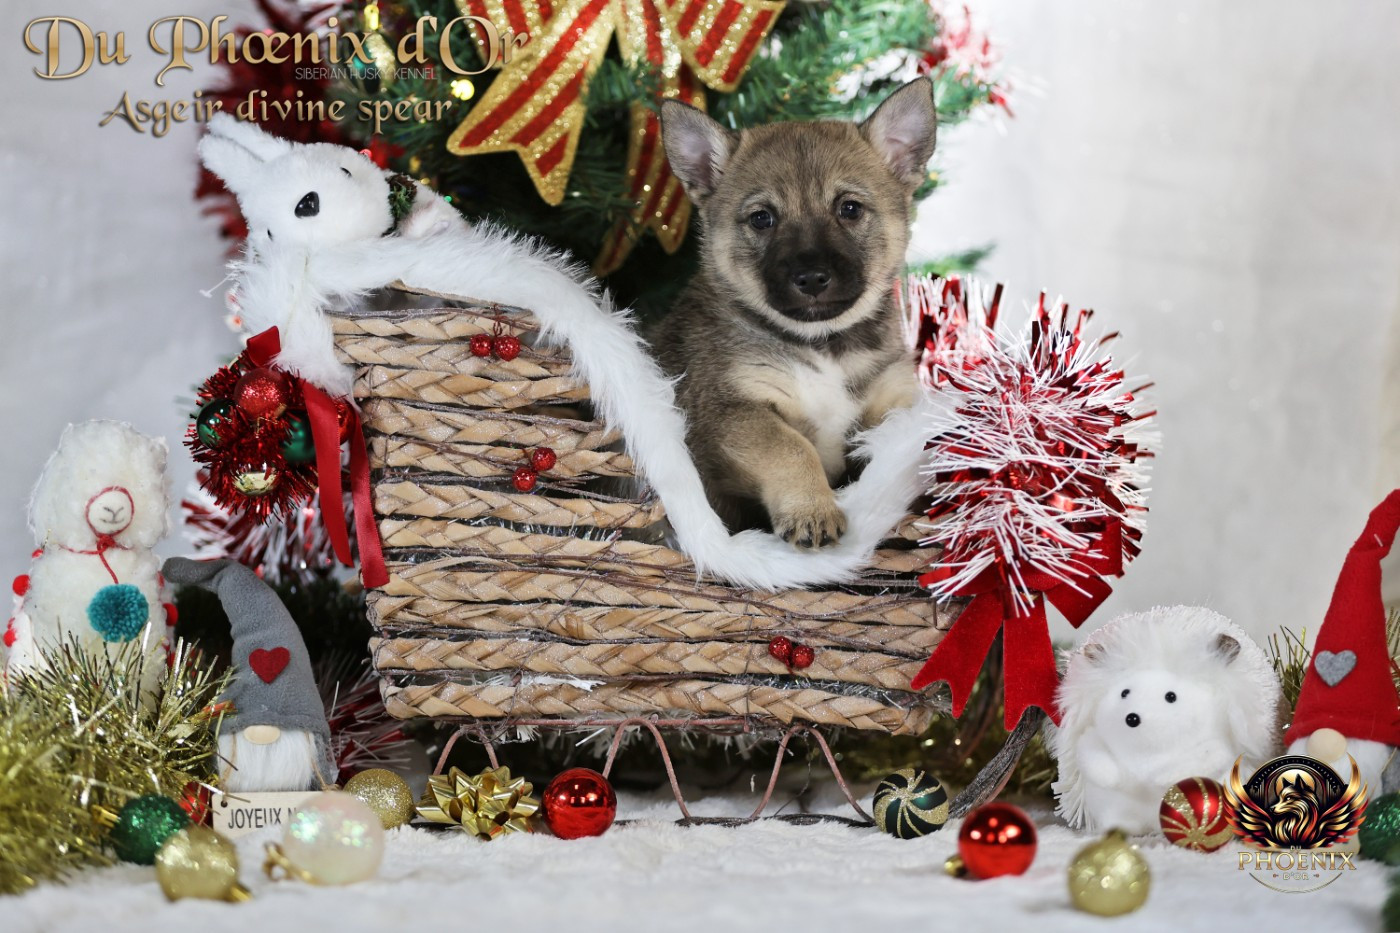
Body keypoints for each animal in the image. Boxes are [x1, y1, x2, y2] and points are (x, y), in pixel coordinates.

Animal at [650, 78, 937, 547]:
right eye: (762, 218)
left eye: (850, 208)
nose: (812, 278)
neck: (823, 345)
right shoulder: (733, 410)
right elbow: (791, 449)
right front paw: (812, 510)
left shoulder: (892, 401)